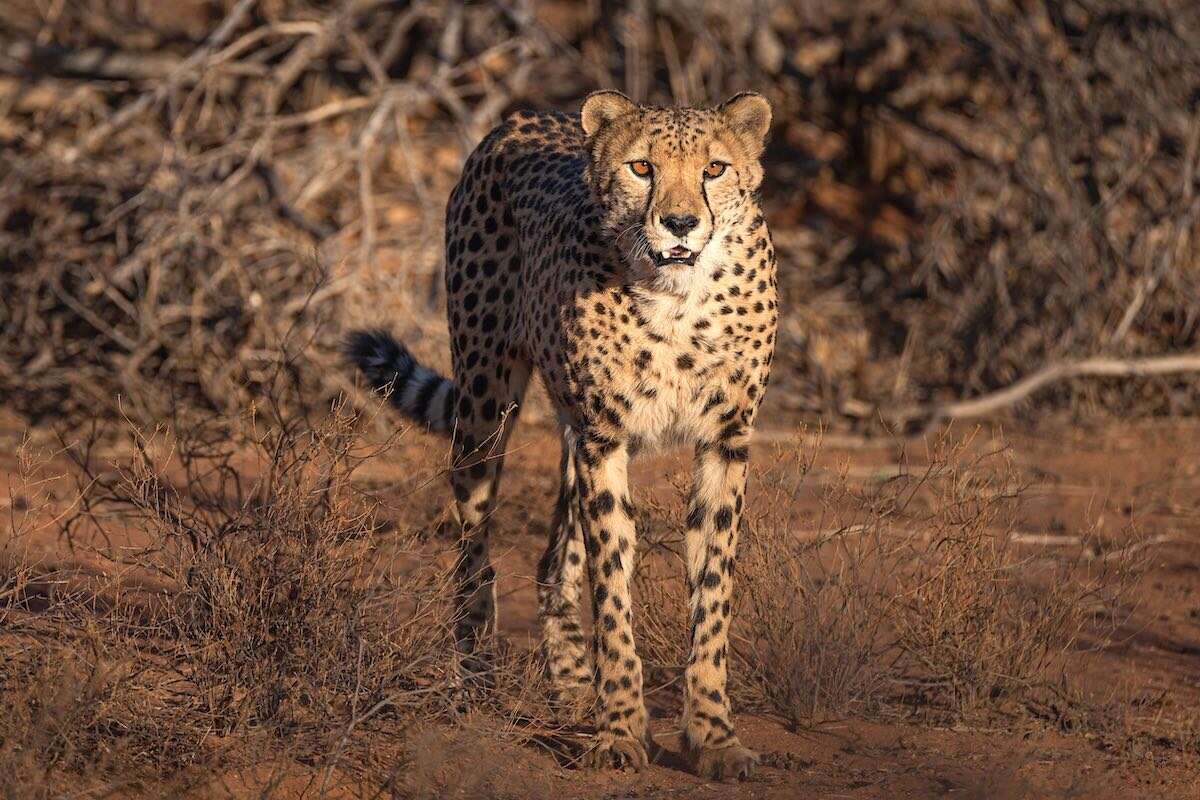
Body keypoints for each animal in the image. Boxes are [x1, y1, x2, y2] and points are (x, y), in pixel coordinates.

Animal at [346, 90, 778, 781]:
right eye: (641, 168)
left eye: (714, 169)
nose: (681, 223)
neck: (677, 298)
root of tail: (524, 119)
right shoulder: (605, 437)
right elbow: (613, 589)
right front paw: (621, 728)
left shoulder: (724, 440)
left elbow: (712, 595)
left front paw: (713, 735)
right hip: (487, 401)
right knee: (475, 552)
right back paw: (478, 675)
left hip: (570, 433)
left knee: (553, 559)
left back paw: (573, 685)